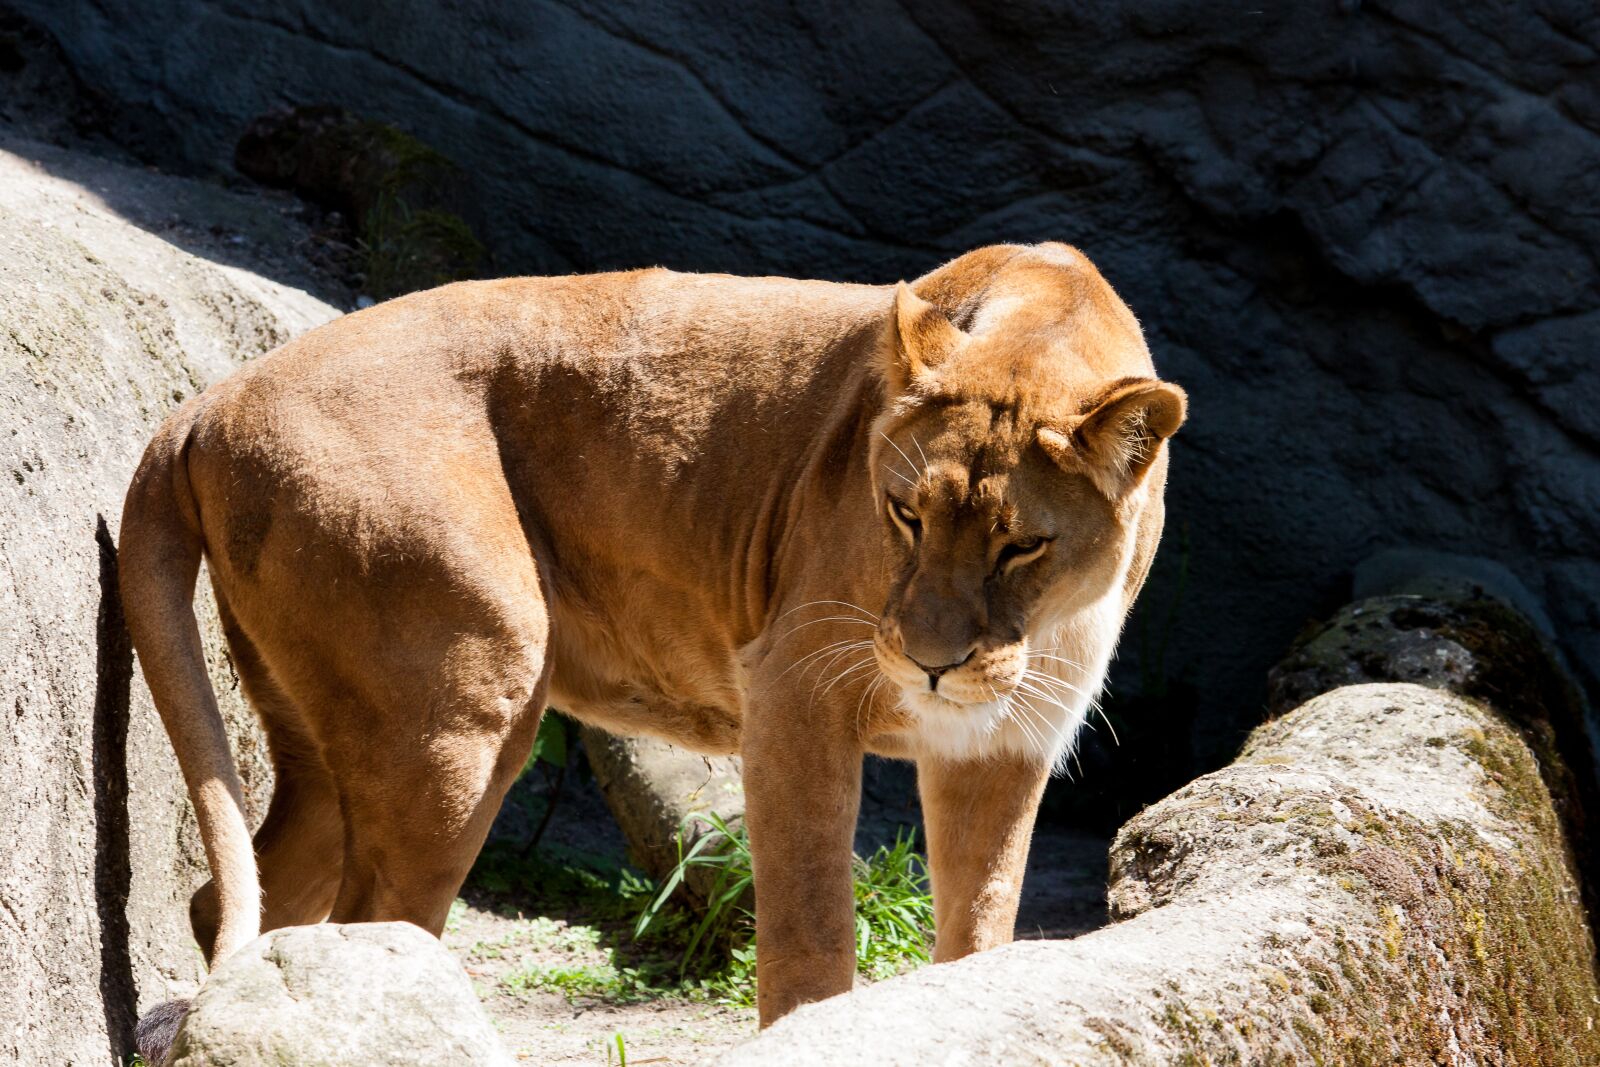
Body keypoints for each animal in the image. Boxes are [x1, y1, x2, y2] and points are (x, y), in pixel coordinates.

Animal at [119, 242, 1183, 1054]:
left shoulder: (1002, 747)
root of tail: (210, 400)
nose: (928, 661)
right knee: (373, 926)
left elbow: (982, 925)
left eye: (1021, 544)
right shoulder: (794, 696)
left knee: (240, 901)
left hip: (327, 739)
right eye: (904, 513)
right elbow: (809, 930)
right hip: (465, 703)